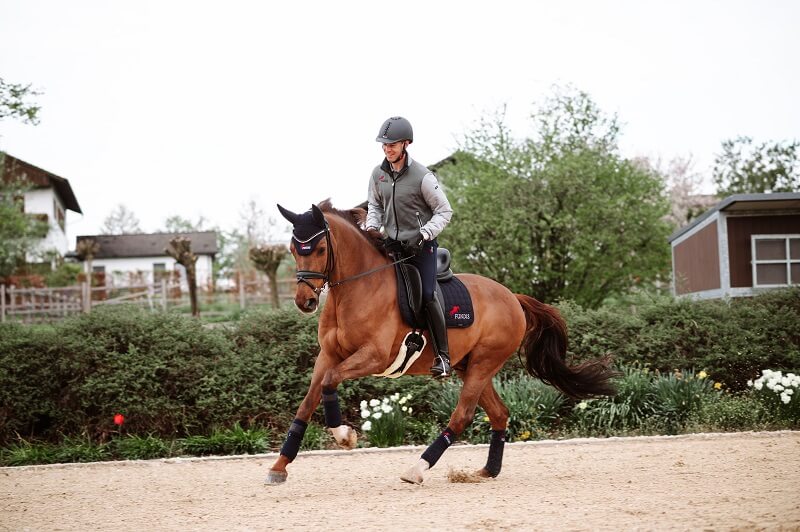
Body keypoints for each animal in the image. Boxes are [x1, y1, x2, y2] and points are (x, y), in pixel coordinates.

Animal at [266, 201, 616, 486]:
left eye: (319, 249)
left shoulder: (374, 357)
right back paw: (486, 471)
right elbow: (307, 402)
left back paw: (418, 469)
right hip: (470, 366)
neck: (356, 289)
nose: (305, 301)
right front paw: (279, 466)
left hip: (483, 364)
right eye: (293, 249)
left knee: (461, 416)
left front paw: (344, 435)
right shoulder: (327, 355)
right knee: (499, 414)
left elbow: (330, 381)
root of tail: (512, 297)